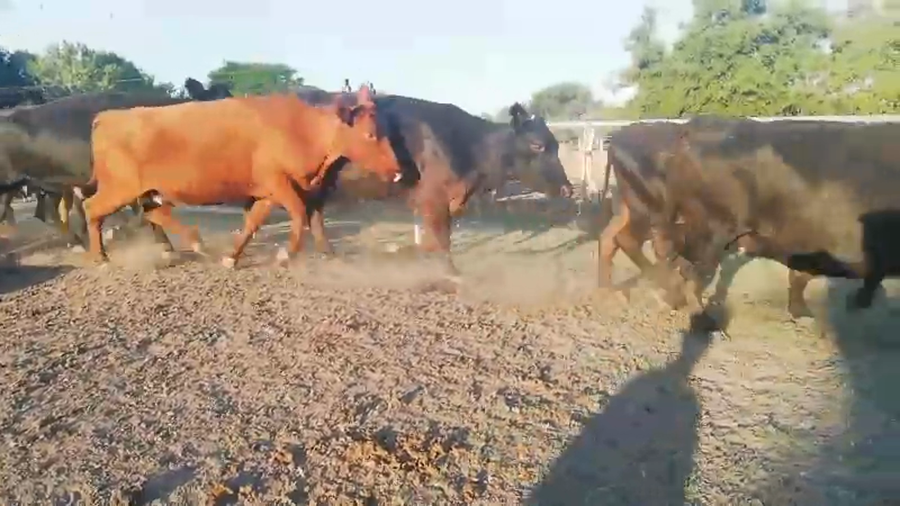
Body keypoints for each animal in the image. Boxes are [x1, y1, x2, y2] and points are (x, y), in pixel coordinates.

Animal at [80, 84, 402, 267]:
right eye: (370, 134)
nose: (398, 172)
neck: (302, 129)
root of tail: (107, 117)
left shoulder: (269, 191)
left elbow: (255, 222)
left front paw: (231, 257)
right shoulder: (277, 182)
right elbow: (299, 213)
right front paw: (286, 255)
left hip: (148, 191)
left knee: (153, 213)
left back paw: (193, 244)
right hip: (119, 188)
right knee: (92, 208)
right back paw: (100, 257)